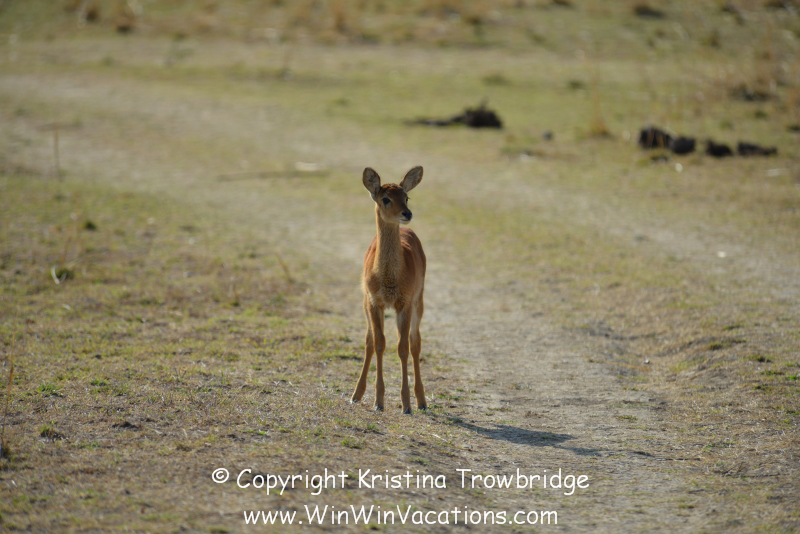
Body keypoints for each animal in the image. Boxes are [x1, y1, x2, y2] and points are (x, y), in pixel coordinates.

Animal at [350, 166, 427, 415]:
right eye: (385, 198)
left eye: (406, 196)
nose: (407, 213)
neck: (389, 278)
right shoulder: (375, 302)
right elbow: (379, 343)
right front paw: (378, 402)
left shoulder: (405, 303)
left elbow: (403, 347)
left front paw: (406, 405)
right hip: (365, 304)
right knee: (369, 340)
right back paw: (356, 395)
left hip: (419, 302)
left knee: (415, 342)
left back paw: (422, 402)